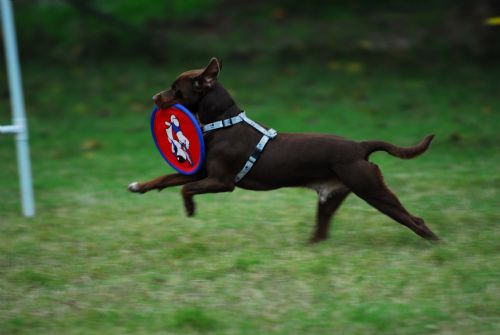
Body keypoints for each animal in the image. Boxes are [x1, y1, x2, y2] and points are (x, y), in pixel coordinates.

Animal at [129, 57, 438, 242]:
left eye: (176, 90)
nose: (154, 97)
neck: (223, 122)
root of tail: (360, 146)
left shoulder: (221, 182)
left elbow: (184, 188)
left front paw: (190, 209)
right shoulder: (200, 172)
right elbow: (166, 178)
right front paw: (138, 186)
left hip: (372, 189)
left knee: (415, 220)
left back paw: (436, 244)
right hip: (333, 197)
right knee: (321, 232)